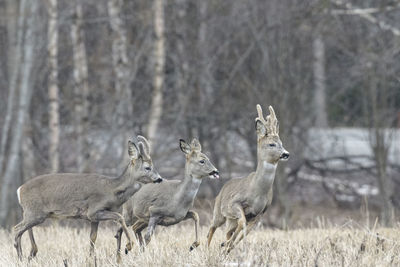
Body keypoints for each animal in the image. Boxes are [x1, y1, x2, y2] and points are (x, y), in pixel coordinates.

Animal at [13, 137, 162, 262]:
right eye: (147, 167)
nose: (159, 179)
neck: (112, 189)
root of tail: (19, 190)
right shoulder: (94, 210)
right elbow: (119, 217)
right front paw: (129, 245)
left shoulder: (93, 218)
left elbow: (93, 238)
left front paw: (90, 259)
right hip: (35, 213)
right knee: (16, 229)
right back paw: (20, 257)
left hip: (32, 213)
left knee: (24, 229)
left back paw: (28, 255)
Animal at [208, 104, 290, 253]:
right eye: (271, 144)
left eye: (281, 143)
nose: (286, 154)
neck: (256, 191)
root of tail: (223, 188)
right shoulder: (234, 203)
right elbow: (242, 223)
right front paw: (226, 245)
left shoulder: (260, 212)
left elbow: (246, 230)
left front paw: (228, 246)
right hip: (219, 210)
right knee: (212, 227)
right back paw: (204, 248)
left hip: (230, 219)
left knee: (228, 231)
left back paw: (225, 245)